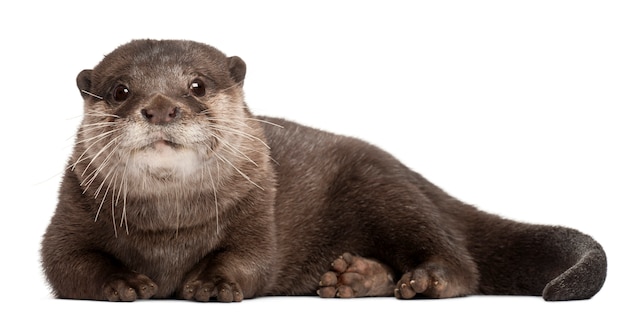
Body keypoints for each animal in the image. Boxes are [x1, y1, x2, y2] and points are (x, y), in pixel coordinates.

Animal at [40, 39, 604, 304]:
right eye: (120, 91)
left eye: (197, 85)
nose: (160, 107)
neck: (168, 232)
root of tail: (411, 173)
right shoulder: (71, 210)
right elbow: (66, 263)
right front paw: (122, 282)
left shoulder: (258, 209)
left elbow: (250, 259)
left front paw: (212, 284)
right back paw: (352, 278)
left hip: (388, 192)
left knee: (462, 263)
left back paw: (426, 281)